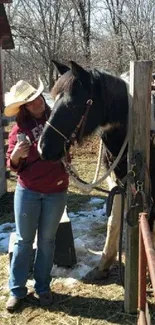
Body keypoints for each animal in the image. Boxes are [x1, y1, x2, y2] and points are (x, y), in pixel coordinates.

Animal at [38, 61, 155, 278]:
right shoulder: (119, 181)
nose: (43, 148)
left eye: (72, 105)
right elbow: (114, 221)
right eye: (53, 101)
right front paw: (104, 264)